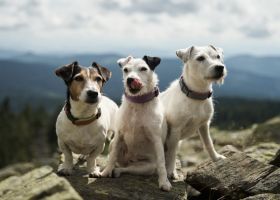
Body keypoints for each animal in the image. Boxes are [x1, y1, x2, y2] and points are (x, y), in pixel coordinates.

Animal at [100, 54, 171, 191]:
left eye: (143, 68)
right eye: (126, 70)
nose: (130, 79)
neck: (138, 103)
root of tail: (129, 161)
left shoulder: (157, 139)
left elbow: (161, 163)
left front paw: (164, 182)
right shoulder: (119, 135)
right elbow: (112, 157)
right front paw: (105, 172)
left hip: (147, 167)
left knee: (128, 169)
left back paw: (117, 171)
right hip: (113, 144)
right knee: (116, 160)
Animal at [160, 45, 228, 178]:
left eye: (218, 56)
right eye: (200, 58)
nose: (220, 67)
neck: (197, 95)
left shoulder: (204, 125)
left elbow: (208, 143)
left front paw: (216, 158)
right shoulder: (175, 130)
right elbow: (172, 152)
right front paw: (171, 171)